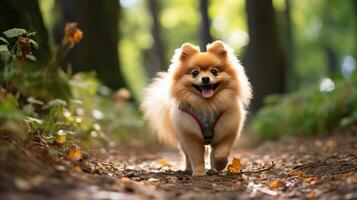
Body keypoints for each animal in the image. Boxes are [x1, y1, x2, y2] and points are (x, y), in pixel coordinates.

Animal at [140, 41, 252, 177]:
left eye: (214, 71)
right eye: (194, 73)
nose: (205, 78)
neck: (207, 105)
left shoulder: (227, 132)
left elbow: (220, 154)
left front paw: (219, 166)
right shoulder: (190, 137)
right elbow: (196, 157)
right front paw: (199, 173)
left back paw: (213, 169)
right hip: (182, 140)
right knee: (187, 155)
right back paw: (188, 169)